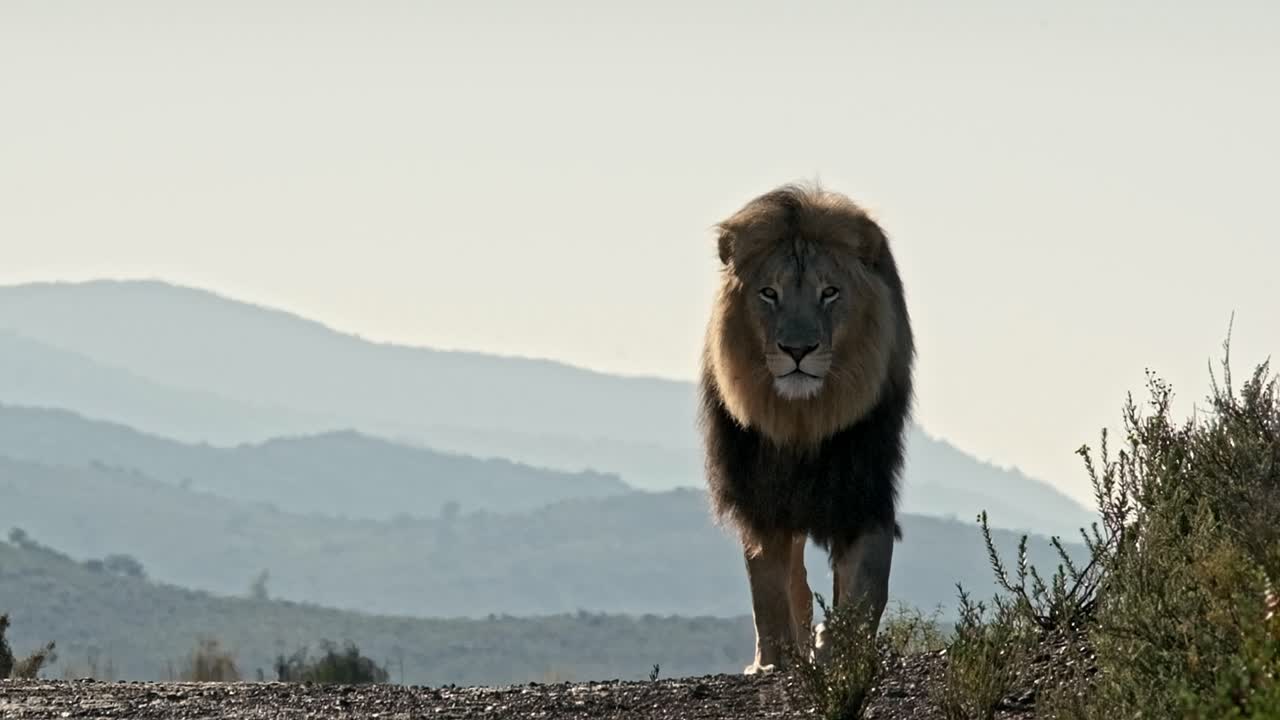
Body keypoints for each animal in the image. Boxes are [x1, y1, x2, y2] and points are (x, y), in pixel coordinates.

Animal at [698, 183, 915, 675]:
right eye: (769, 293)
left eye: (829, 292)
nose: (797, 350)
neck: (803, 420)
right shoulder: (759, 496)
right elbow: (768, 588)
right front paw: (774, 660)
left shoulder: (862, 490)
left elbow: (865, 585)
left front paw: (840, 650)